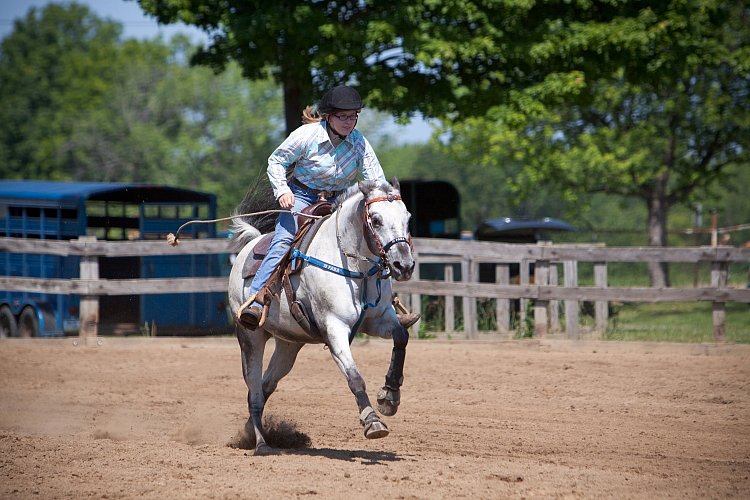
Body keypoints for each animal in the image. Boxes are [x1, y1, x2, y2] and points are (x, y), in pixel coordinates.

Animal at [229, 180, 418, 458]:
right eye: (376, 219)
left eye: (407, 217)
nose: (403, 265)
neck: (356, 269)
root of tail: (249, 247)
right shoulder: (334, 328)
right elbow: (354, 377)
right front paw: (372, 421)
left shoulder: (380, 320)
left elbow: (401, 337)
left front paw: (389, 396)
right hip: (250, 336)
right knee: (253, 390)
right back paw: (262, 444)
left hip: (289, 344)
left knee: (265, 386)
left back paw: (251, 433)